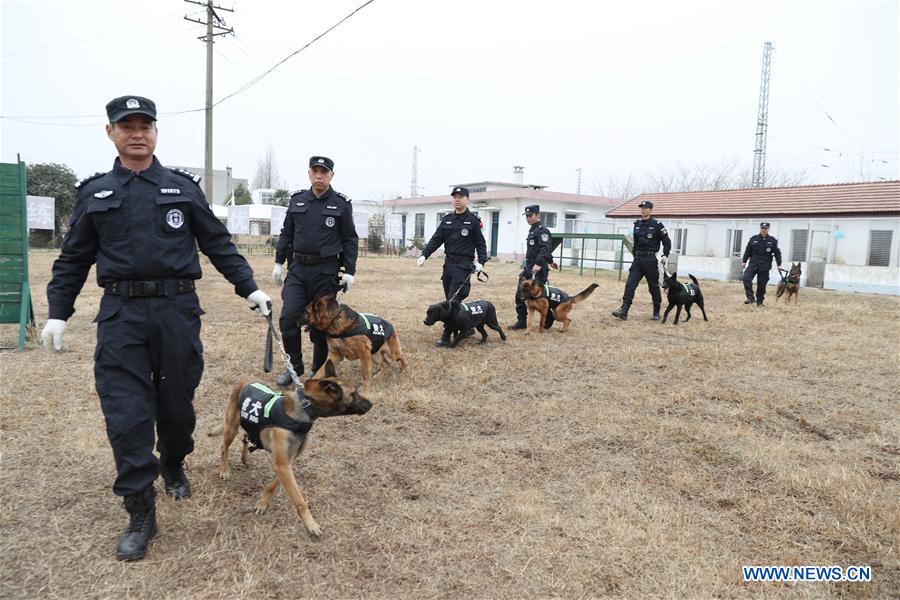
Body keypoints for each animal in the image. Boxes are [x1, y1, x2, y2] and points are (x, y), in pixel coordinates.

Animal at [209, 358, 370, 536]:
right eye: (354, 394)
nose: (371, 404)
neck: (305, 407)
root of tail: (243, 380)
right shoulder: (282, 464)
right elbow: (300, 500)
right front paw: (310, 524)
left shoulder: (287, 462)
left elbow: (272, 485)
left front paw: (263, 502)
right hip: (231, 427)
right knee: (224, 448)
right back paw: (224, 470)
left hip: (249, 426)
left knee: (245, 438)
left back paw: (245, 457)